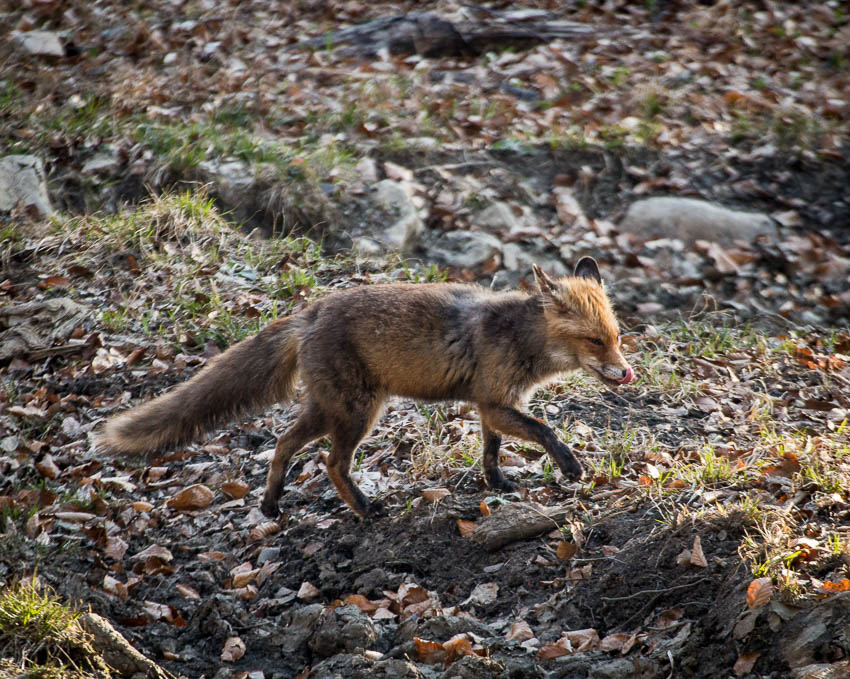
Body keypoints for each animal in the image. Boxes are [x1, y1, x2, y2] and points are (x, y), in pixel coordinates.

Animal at [96, 258, 632, 520]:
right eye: (594, 341)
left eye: (617, 337)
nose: (626, 373)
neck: (519, 337)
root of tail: (311, 311)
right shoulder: (498, 403)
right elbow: (545, 430)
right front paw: (570, 468)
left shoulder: (492, 405)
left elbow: (491, 451)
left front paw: (497, 484)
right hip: (358, 413)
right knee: (331, 462)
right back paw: (365, 509)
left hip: (330, 409)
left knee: (284, 444)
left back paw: (271, 504)